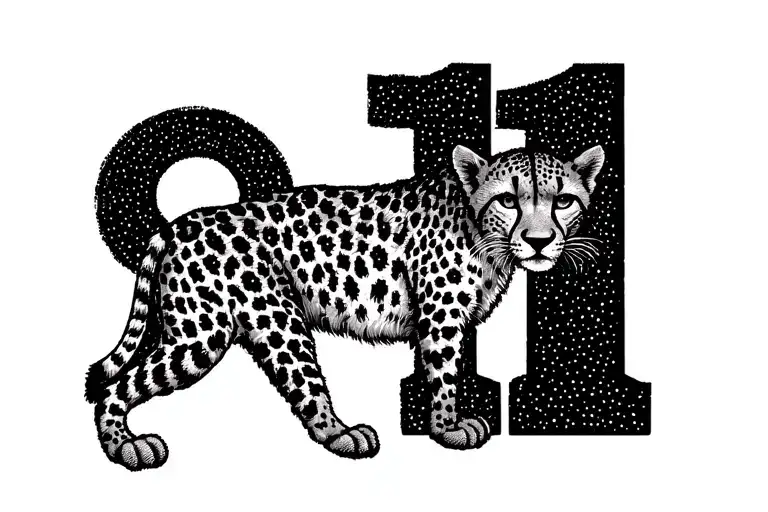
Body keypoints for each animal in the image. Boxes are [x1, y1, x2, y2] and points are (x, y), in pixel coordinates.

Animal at [85, 143, 605, 470]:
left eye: (563, 201)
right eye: (507, 201)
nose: (539, 241)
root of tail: (181, 221)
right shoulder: (440, 314)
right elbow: (442, 373)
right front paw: (447, 428)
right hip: (235, 326)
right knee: (118, 387)